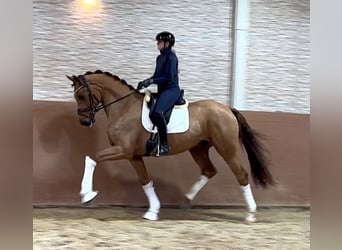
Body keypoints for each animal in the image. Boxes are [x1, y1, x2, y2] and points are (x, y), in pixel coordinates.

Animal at [67, 70, 276, 223]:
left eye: (82, 95)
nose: (85, 122)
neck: (124, 108)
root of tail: (227, 109)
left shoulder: (123, 150)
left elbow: (92, 157)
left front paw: (87, 195)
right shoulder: (133, 155)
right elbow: (145, 181)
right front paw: (153, 211)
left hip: (227, 149)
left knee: (241, 175)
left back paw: (250, 214)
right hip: (198, 148)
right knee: (209, 170)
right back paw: (187, 199)